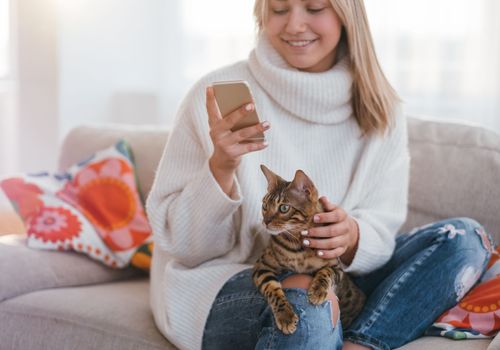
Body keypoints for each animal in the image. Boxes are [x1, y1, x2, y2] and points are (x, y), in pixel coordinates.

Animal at [254, 165, 364, 334]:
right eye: (264, 206)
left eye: (284, 208)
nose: (265, 222)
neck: (297, 244)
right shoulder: (262, 266)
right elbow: (272, 289)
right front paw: (285, 316)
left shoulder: (337, 267)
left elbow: (325, 272)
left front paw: (318, 290)